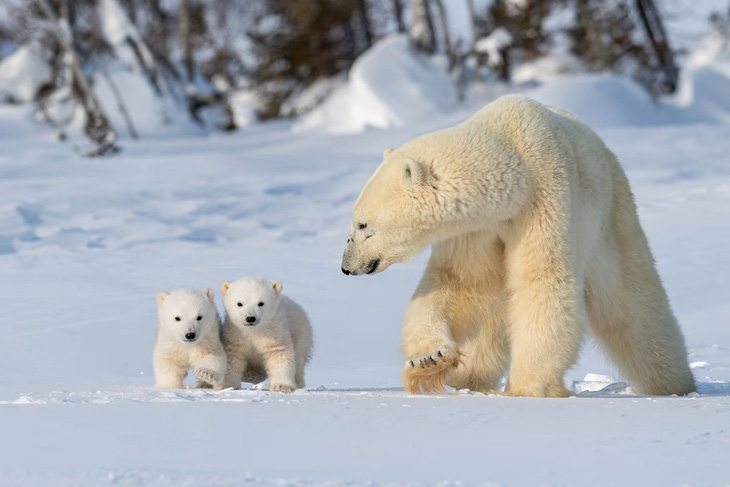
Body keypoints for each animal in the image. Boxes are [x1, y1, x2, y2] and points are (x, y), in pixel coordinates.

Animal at [342, 96, 692, 400]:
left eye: (362, 226)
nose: (347, 266)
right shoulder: (477, 229)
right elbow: (462, 283)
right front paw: (429, 360)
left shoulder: (545, 197)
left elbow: (544, 282)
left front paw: (526, 388)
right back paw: (467, 379)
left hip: (612, 216)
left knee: (631, 303)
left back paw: (674, 384)